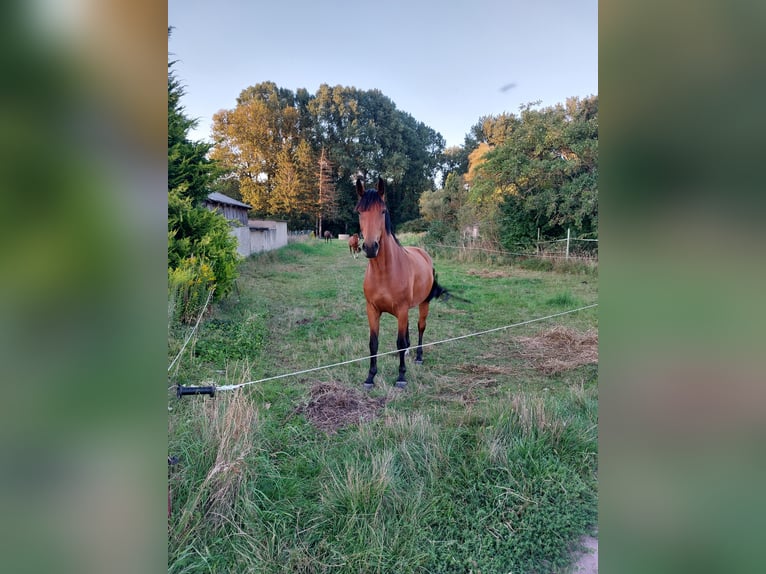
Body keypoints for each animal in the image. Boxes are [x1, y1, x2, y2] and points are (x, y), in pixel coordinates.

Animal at [356, 177, 448, 392]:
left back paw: (419, 357)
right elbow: (374, 343)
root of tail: (423, 253)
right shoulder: (372, 309)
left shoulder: (401, 309)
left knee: (421, 327)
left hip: (423, 304)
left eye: (382, 211)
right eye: (359, 212)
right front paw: (370, 377)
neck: (385, 273)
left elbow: (399, 341)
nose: (370, 247)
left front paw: (401, 377)